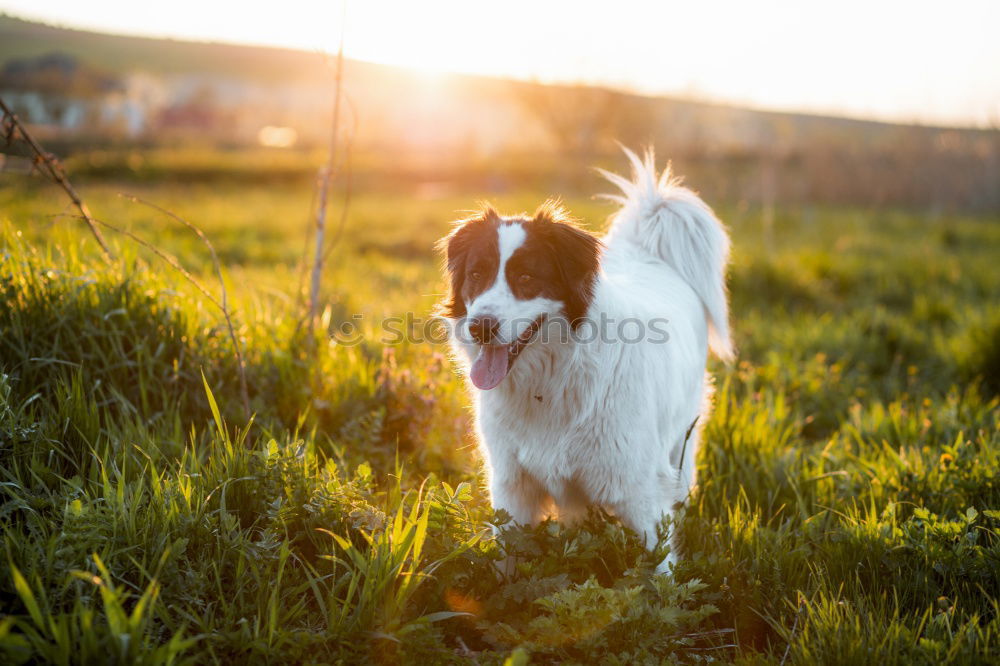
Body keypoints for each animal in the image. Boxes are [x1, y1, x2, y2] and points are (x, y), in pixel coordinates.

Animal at [442, 147, 732, 572]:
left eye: (526, 278)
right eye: (476, 274)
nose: (480, 327)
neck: (551, 380)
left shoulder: (640, 490)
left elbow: (660, 570)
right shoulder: (513, 486)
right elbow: (506, 562)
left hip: (682, 440)